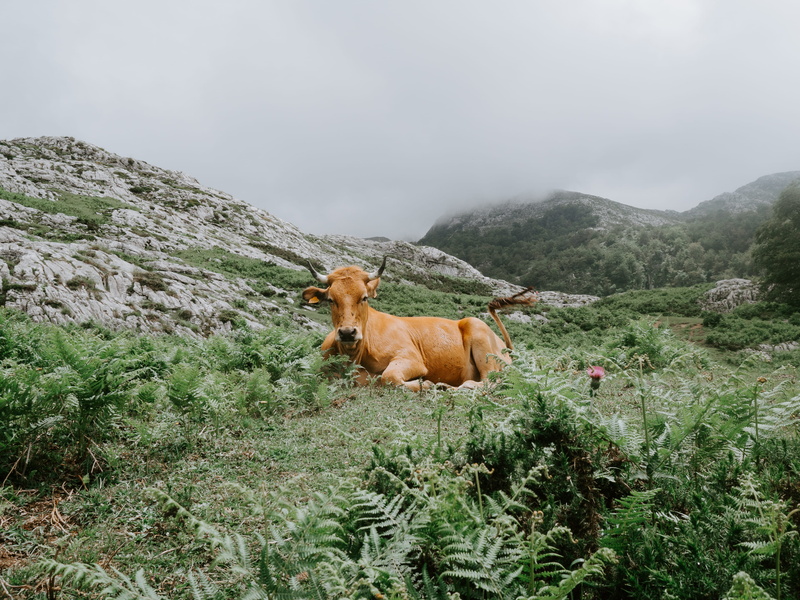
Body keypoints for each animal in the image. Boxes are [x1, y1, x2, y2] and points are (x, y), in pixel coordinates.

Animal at [302, 257, 536, 391]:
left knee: (491, 380)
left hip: (480, 336)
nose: (348, 332)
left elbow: (388, 376)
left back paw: (455, 387)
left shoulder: (411, 358)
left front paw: (426, 383)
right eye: (331, 300)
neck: (354, 358)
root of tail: (506, 348)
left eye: (364, 298)